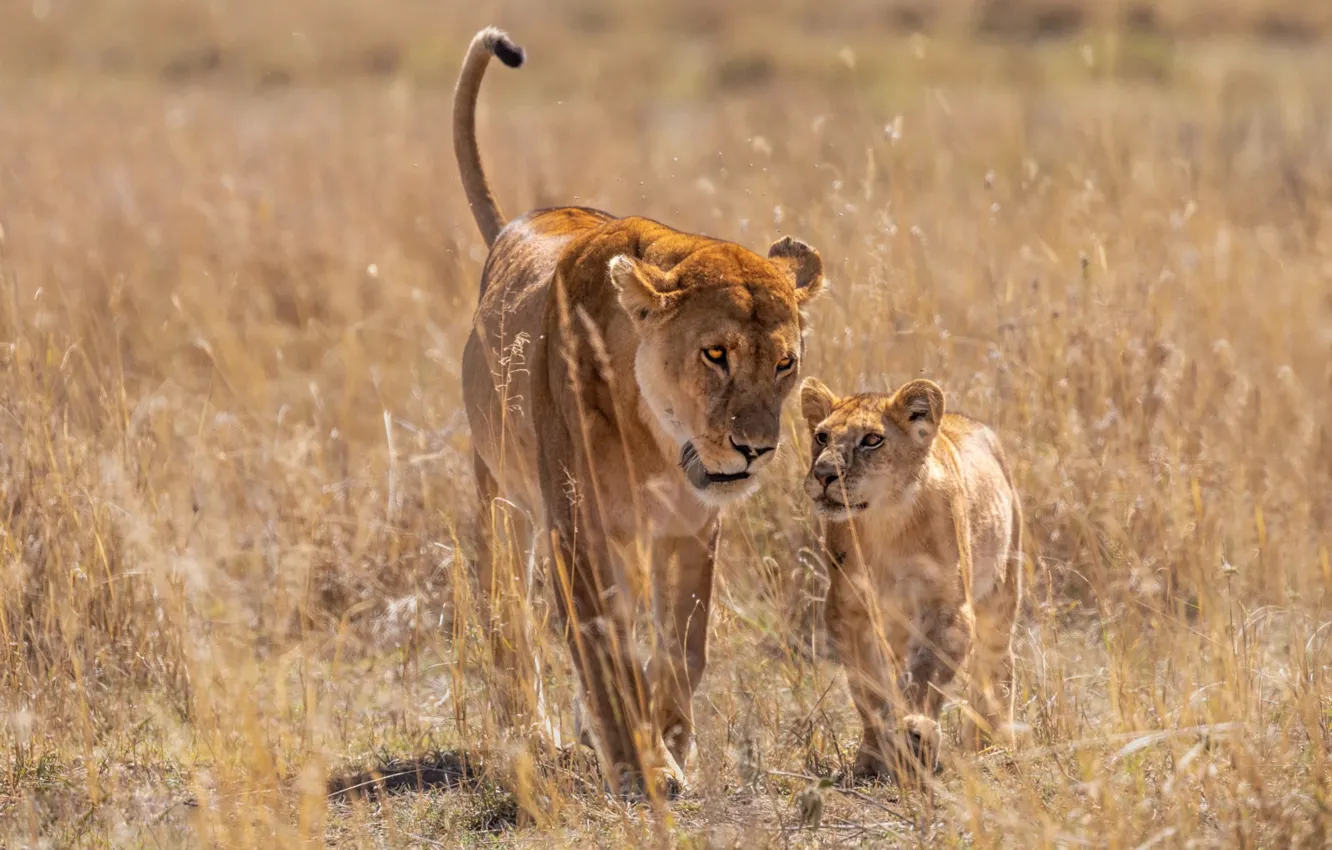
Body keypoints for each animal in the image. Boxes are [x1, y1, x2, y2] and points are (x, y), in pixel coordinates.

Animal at [453, 27, 826, 795]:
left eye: (785, 363)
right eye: (714, 355)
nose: (754, 449)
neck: (658, 439)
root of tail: (514, 224)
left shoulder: (692, 527)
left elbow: (684, 646)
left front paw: (675, 744)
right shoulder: (577, 527)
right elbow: (605, 648)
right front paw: (638, 765)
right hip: (502, 498)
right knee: (507, 612)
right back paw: (532, 729)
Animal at [799, 377, 1022, 779]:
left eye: (872, 439)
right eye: (822, 437)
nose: (824, 475)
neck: (886, 522)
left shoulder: (947, 609)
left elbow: (924, 676)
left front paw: (916, 730)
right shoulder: (847, 611)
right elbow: (869, 688)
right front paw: (874, 756)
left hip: (1002, 591)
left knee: (997, 665)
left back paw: (991, 740)